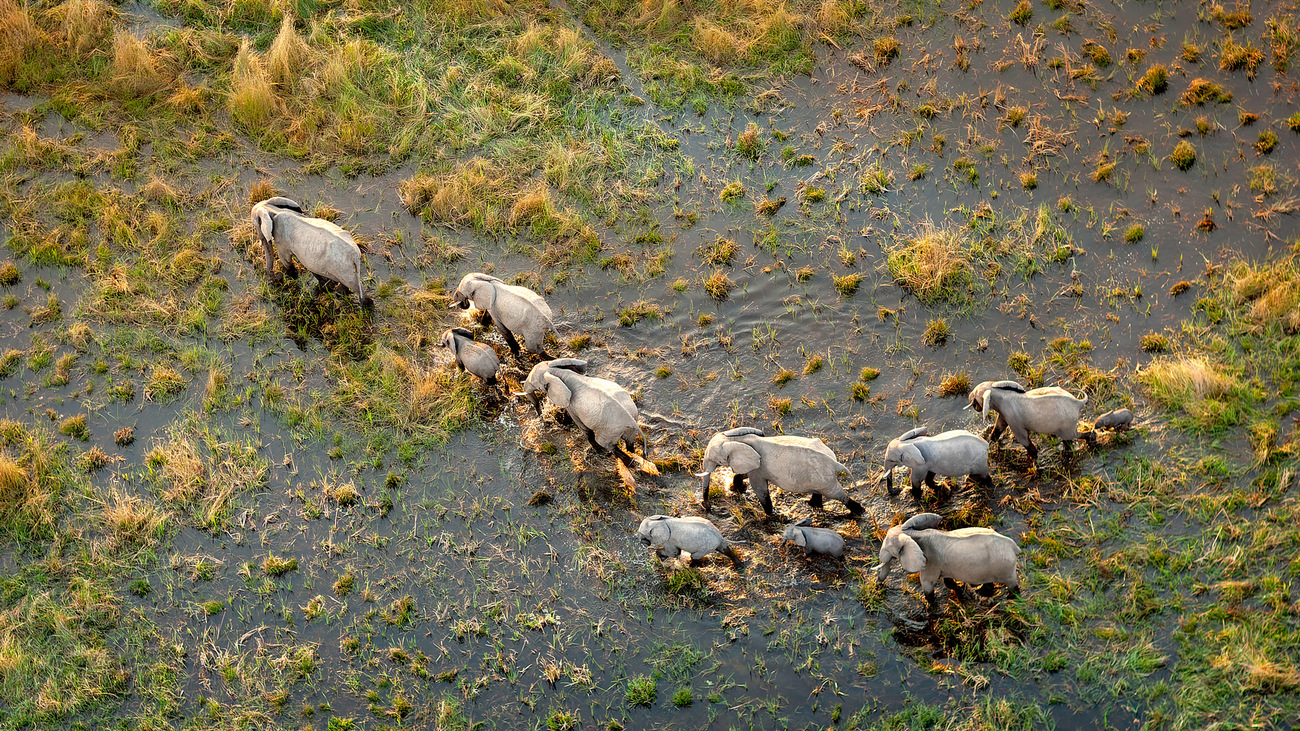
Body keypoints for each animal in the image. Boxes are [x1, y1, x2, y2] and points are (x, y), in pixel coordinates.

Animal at [696, 424, 868, 515]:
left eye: (716, 460)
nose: (709, 508)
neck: (734, 439)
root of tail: (836, 464)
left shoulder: (759, 467)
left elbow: (760, 488)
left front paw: (770, 514)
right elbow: (744, 474)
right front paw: (737, 488)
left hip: (826, 479)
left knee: (838, 495)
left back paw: (859, 512)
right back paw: (812, 505)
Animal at [878, 509, 1019, 606]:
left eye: (888, 548)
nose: (879, 584)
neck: (913, 534)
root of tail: (1014, 546)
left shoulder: (930, 561)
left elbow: (927, 583)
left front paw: (930, 606)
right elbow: (947, 581)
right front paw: (961, 593)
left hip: (1005, 566)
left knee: (1012, 585)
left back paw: (1011, 599)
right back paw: (980, 593)